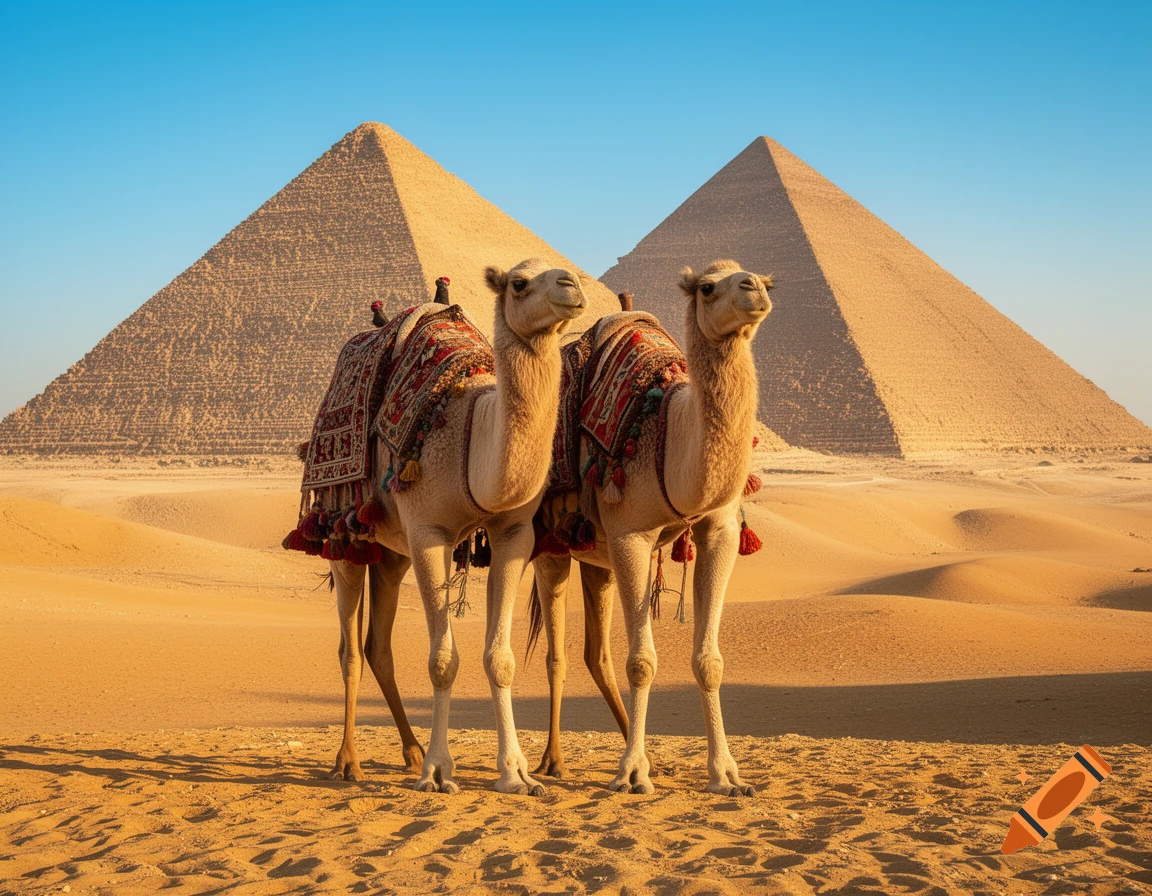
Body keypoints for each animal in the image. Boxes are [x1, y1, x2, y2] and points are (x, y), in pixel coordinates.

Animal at [327, 258, 588, 795]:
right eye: (518, 283)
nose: (573, 284)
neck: (474, 430)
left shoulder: (515, 535)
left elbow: (500, 658)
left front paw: (517, 774)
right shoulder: (430, 533)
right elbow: (442, 660)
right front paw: (438, 772)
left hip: (392, 552)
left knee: (376, 645)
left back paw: (409, 751)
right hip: (348, 538)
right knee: (349, 650)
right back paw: (350, 762)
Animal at [531, 260, 771, 796]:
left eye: (766, 280)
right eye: (708, 288)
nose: (756, 290)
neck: (666, 426)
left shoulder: (719, 531)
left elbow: (709, 661)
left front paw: (727, 775)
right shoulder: (630, 535)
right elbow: (641, 661)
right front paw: (631, 774)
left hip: (594, 558)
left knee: (595, 653)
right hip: (552, 547)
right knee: (556, 655)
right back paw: (554, 761)